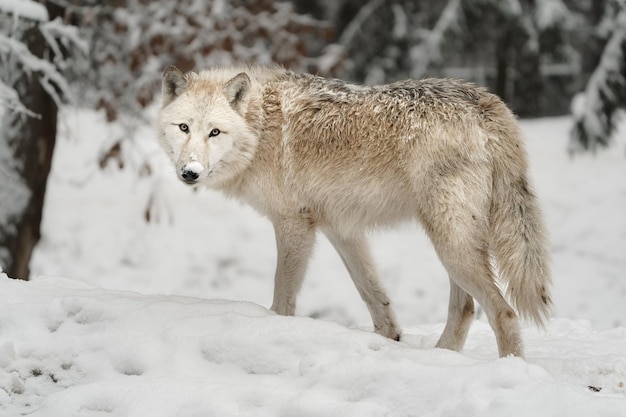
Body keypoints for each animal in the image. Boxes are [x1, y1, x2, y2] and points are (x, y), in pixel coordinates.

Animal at [157, 65, 552, 358]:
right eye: (184, 128)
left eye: (215, 133)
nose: (190, 172)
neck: (260, 125)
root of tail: (482, 99)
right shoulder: (341, 230)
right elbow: (374, 297)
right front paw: (389, 339)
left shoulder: (293, 224)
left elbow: (282, 298)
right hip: (453, 243)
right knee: (467, 308)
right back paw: (441, 358)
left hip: (451, 243)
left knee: (504, 311)